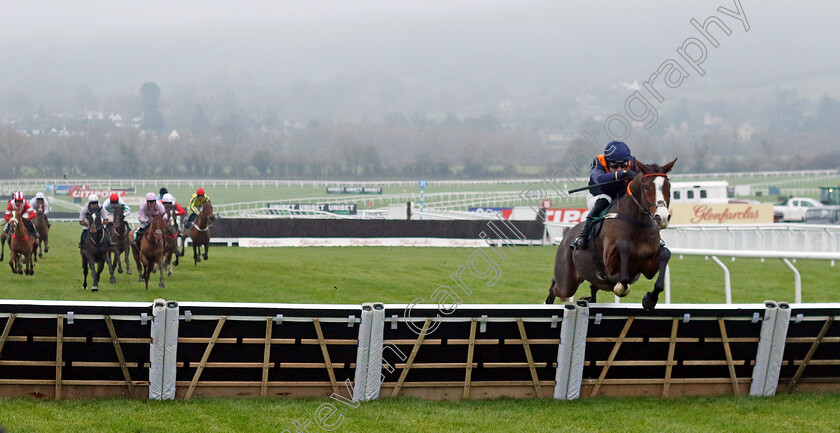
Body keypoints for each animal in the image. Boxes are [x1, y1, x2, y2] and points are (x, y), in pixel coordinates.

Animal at [548, 159, 680, 310]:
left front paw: (650, 299)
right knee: (554, 286)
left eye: (668, 186)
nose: (661, 218)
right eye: (646, 187)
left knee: (592, 288)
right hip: (566, 282)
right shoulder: (609, 263)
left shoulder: (649, 267)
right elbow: (624, 247)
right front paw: (622, 287)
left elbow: (665, 254)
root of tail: (566, 236)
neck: (637, 222)